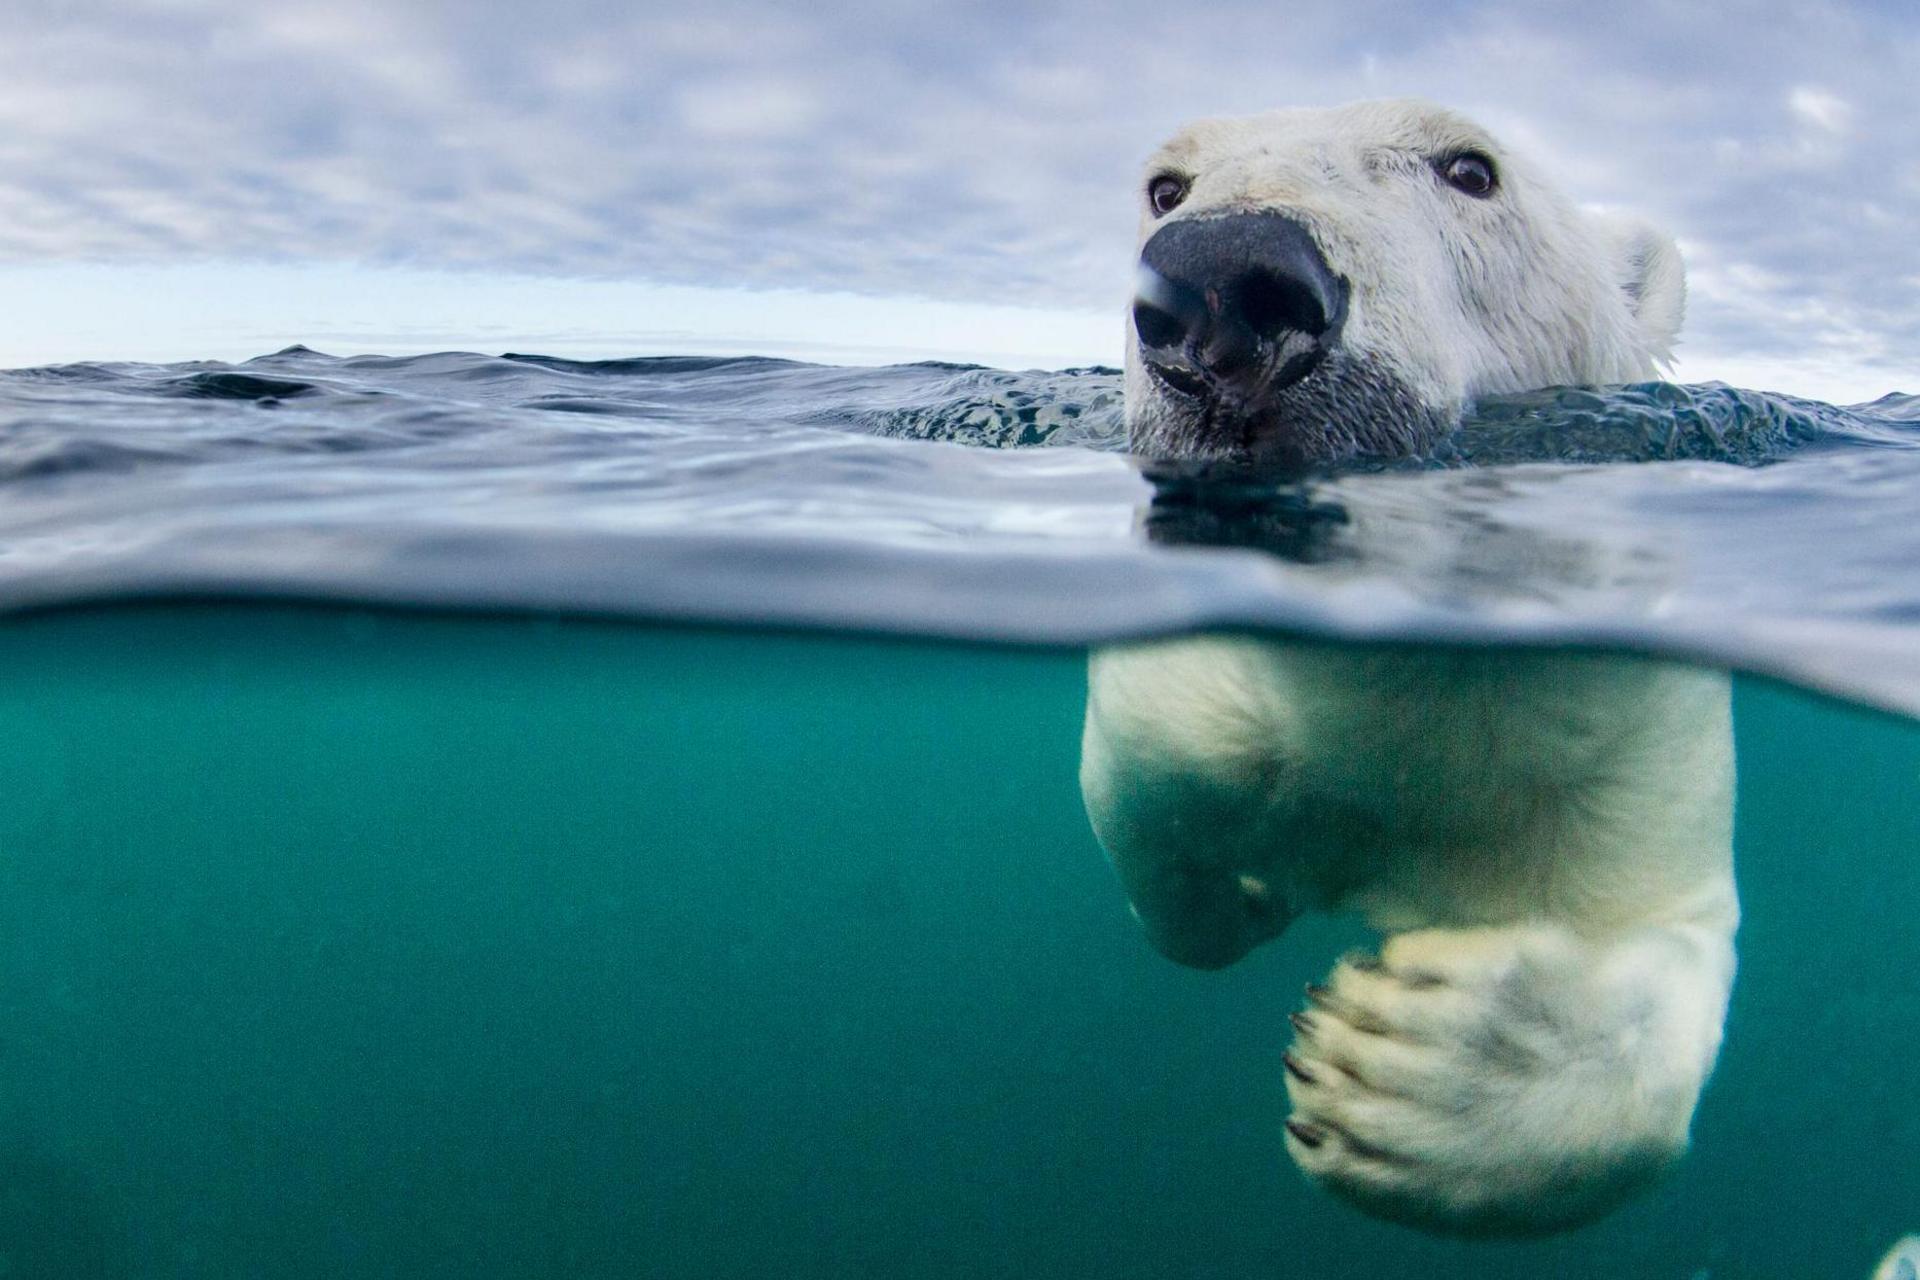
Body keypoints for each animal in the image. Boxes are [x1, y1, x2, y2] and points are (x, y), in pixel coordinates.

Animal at [1082, 102, 1743, 1243]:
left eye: (1470, 168)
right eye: (1167, 186)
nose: (1223, 282)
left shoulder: (1636, 731)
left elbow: (1661, 940)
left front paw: (1404, 1068)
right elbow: (1149, 770)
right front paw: (1243, 893)